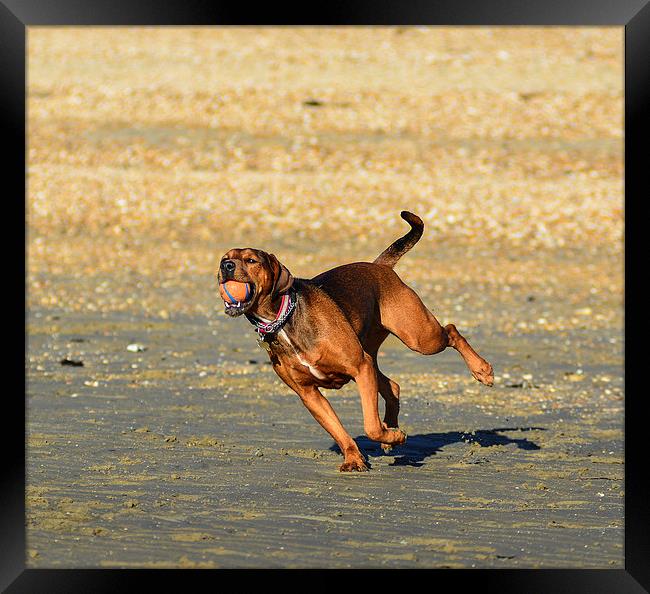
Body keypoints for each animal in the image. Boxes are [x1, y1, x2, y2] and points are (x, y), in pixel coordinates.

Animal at [216, 210, 492, 470]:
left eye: (251, 260)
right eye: (224, 259)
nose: (226, 266)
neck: (284, 319)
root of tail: (380, 266)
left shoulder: (360, 367)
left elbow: (371, 425)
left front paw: (395, 436)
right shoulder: (309, 394)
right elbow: (339, 430)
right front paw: (355, 457)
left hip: (419, 337)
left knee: (452, 331)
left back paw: (482, 370)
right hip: (373, 351)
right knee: (393, 386)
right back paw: (390, 430)